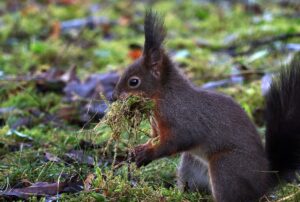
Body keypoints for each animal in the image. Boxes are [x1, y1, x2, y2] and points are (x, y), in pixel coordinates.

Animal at [112, 11, 300, 202]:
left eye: (133, 82)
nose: (114, 97)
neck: (163, 96)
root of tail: (264, 182)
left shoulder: (182, 119)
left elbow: (177, 141)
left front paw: (147, 154)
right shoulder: (157, 126)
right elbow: (155, 138)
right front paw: (137, 150)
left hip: (225, 168)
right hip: (191, 163)